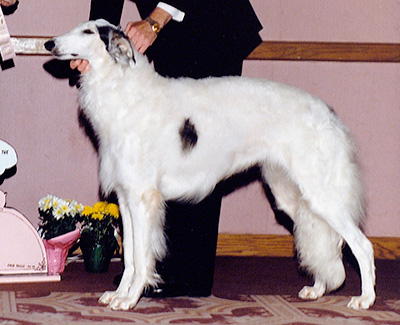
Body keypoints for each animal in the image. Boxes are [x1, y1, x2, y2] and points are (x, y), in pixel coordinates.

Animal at [45, 19, 376, 308]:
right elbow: (129, 259)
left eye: (88, 31)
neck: (123, 90)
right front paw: (118, 294)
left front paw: (129, 299)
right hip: (292, 197)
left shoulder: (143, 198)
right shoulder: (125, 199)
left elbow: (141, 257)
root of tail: (328, 112)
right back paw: (317, 288)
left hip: (322, 195)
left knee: (362, 245)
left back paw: (365, 299)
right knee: (320, 237)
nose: (49, 43)